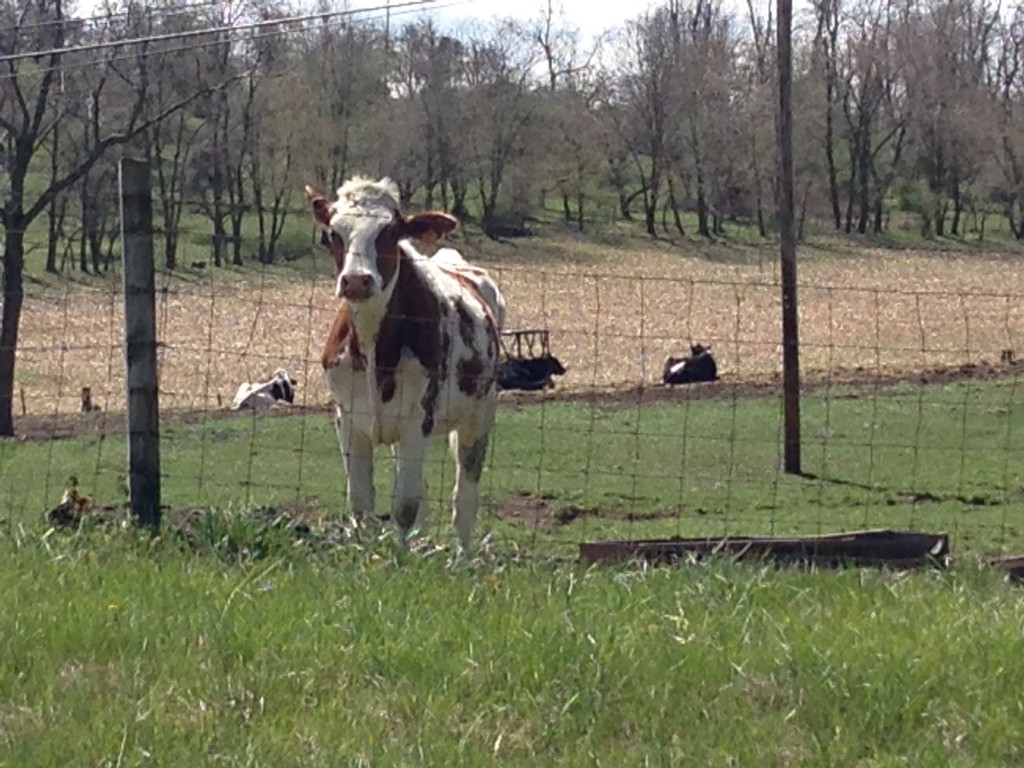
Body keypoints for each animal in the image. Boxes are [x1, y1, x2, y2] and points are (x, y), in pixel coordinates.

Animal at [307, 177, 507, 557]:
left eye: (390, 232)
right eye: (332, 234)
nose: (356, 281)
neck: (374, 347)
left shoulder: (419, 418)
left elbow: (405, 504)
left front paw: (400, 559)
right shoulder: (347, 418)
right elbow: (361, 501)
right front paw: (365, 552)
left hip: (480, 415)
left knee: (465, 493)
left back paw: (462, 557)